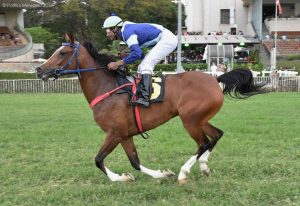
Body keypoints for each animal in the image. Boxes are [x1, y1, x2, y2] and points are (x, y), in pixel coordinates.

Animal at [37, 34, 264, 184]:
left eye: (63, 52)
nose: (39, 70)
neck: (107, 88)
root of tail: (215, 79)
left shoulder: (114, 133)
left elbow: (98, 160)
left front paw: (120, 178)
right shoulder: (124, 134)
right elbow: (134, 162)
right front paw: (160, 174)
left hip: (190, 120)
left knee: (203, 143)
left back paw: (183, 173)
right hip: (200, 119)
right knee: (216, 136)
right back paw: (204, 167)